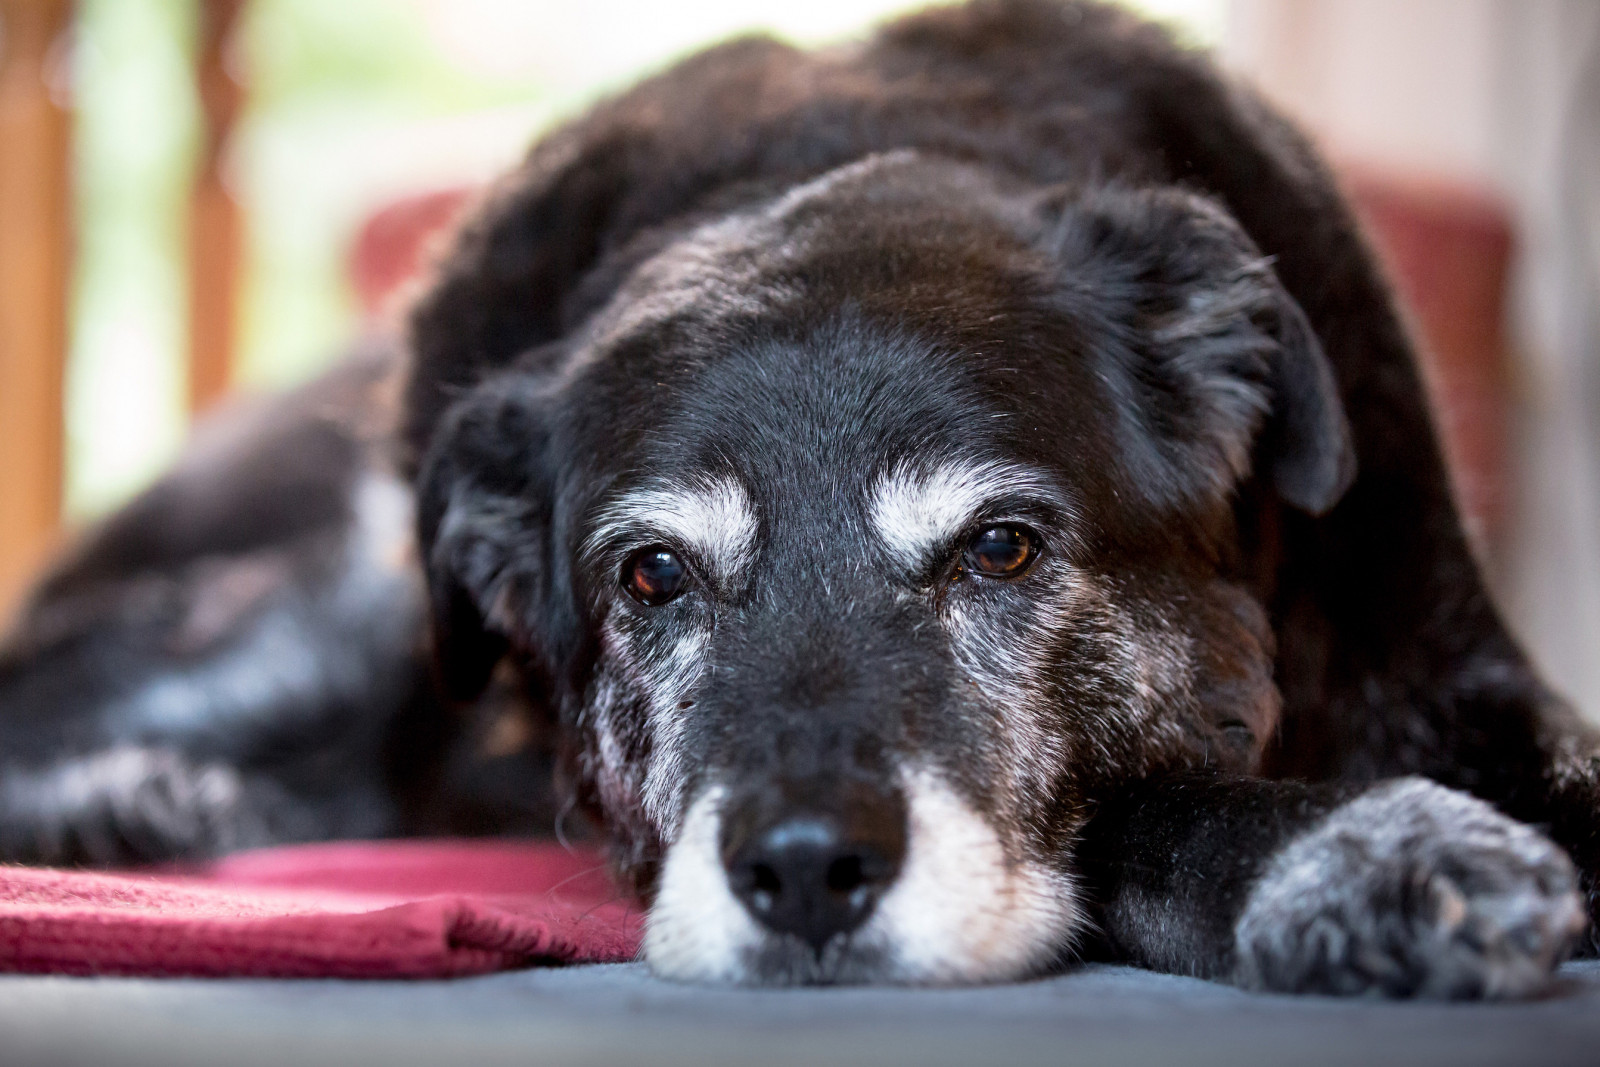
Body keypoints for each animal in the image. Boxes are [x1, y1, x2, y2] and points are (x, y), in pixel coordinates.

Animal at [3, 0, 1600, 1004]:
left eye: (1001, 548)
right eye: (651, 575)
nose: (806, 871)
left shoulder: (1457, 673)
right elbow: (1143, 799)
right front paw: (1367, 854)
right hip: (332, 602)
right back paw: (127, 801)